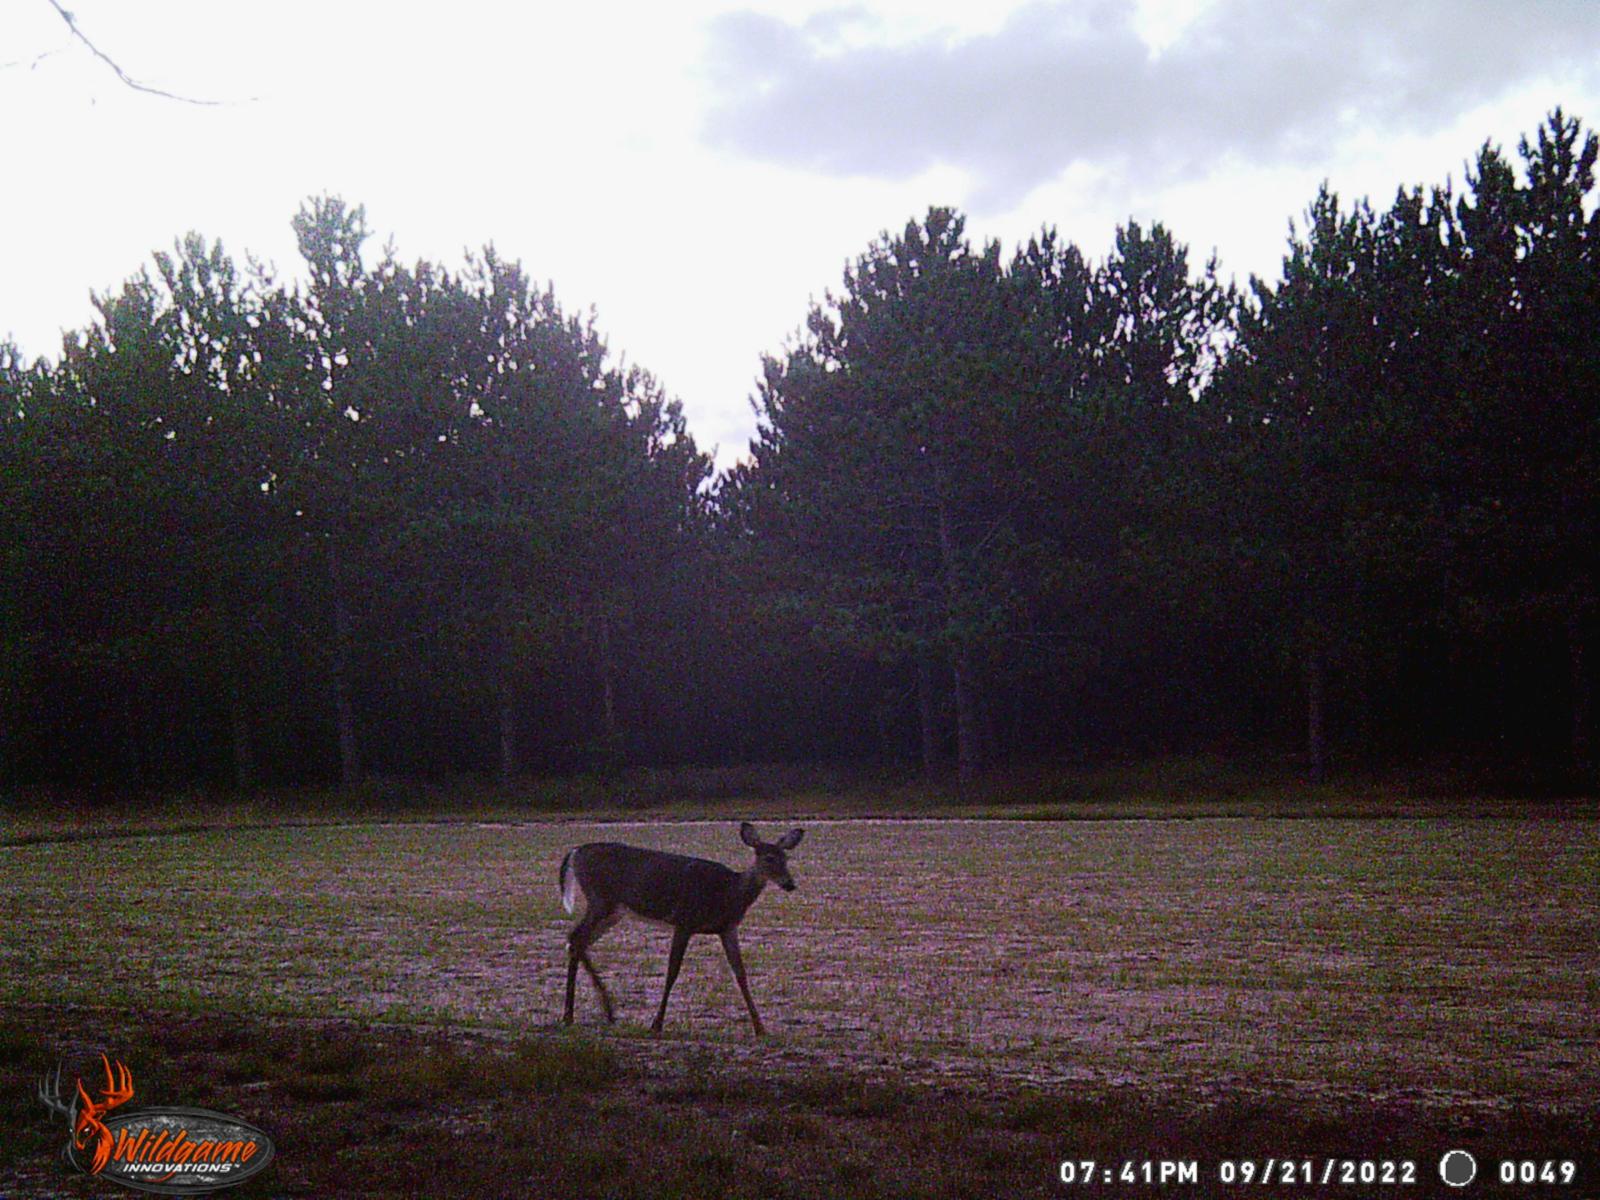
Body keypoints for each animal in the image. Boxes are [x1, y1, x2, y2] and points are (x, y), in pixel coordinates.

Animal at [559, 821, 805, 1036]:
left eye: (786, 858)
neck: (728, 892)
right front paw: (656, 1024)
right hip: (600, 899)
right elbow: (672, 971)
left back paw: (590, 1014)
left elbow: (741, 974)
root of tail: (575, 851)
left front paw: (760, 1028)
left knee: (577, 941)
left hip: (613, 911)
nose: (790, 884)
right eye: (768, 858)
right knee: (576, 938)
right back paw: (579, 1014)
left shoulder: (727, 928)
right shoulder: (684, 921)